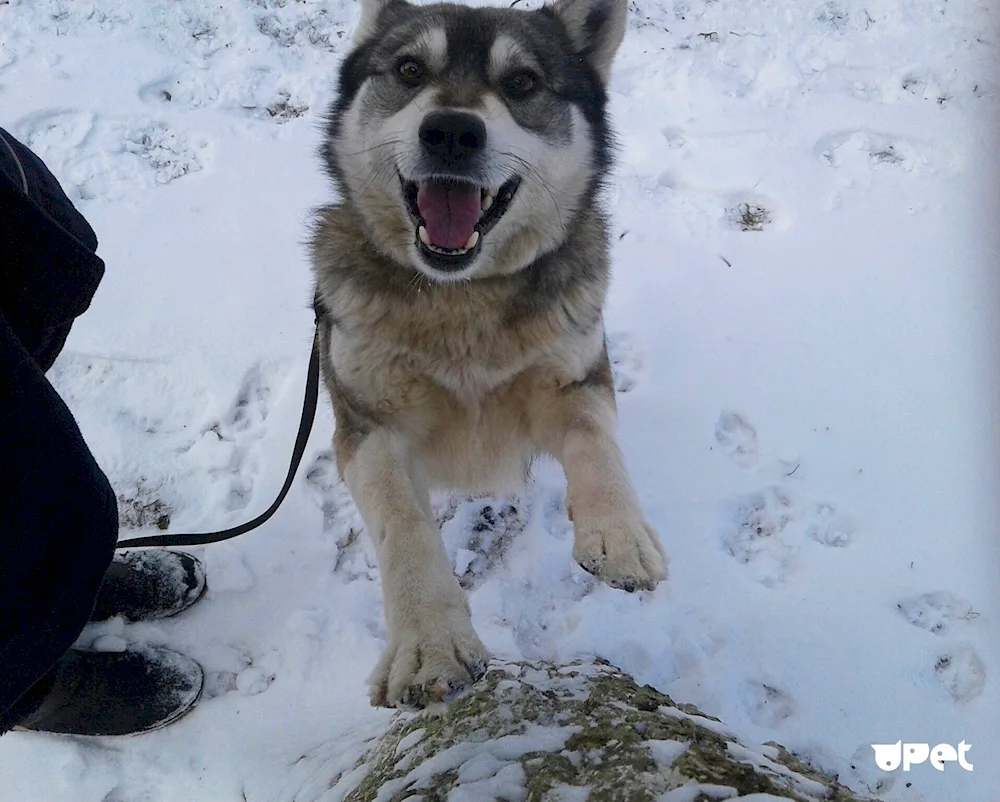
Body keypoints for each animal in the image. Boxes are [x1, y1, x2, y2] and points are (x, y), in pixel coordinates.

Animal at [310, 0, 664, 708]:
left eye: (522, 83)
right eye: (409, 70)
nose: (451, 131)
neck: (460, 297)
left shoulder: (575, 378)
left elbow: (597, 445)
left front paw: (619, 533)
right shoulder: (367, 425)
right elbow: (403, 524)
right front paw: (429, 645)